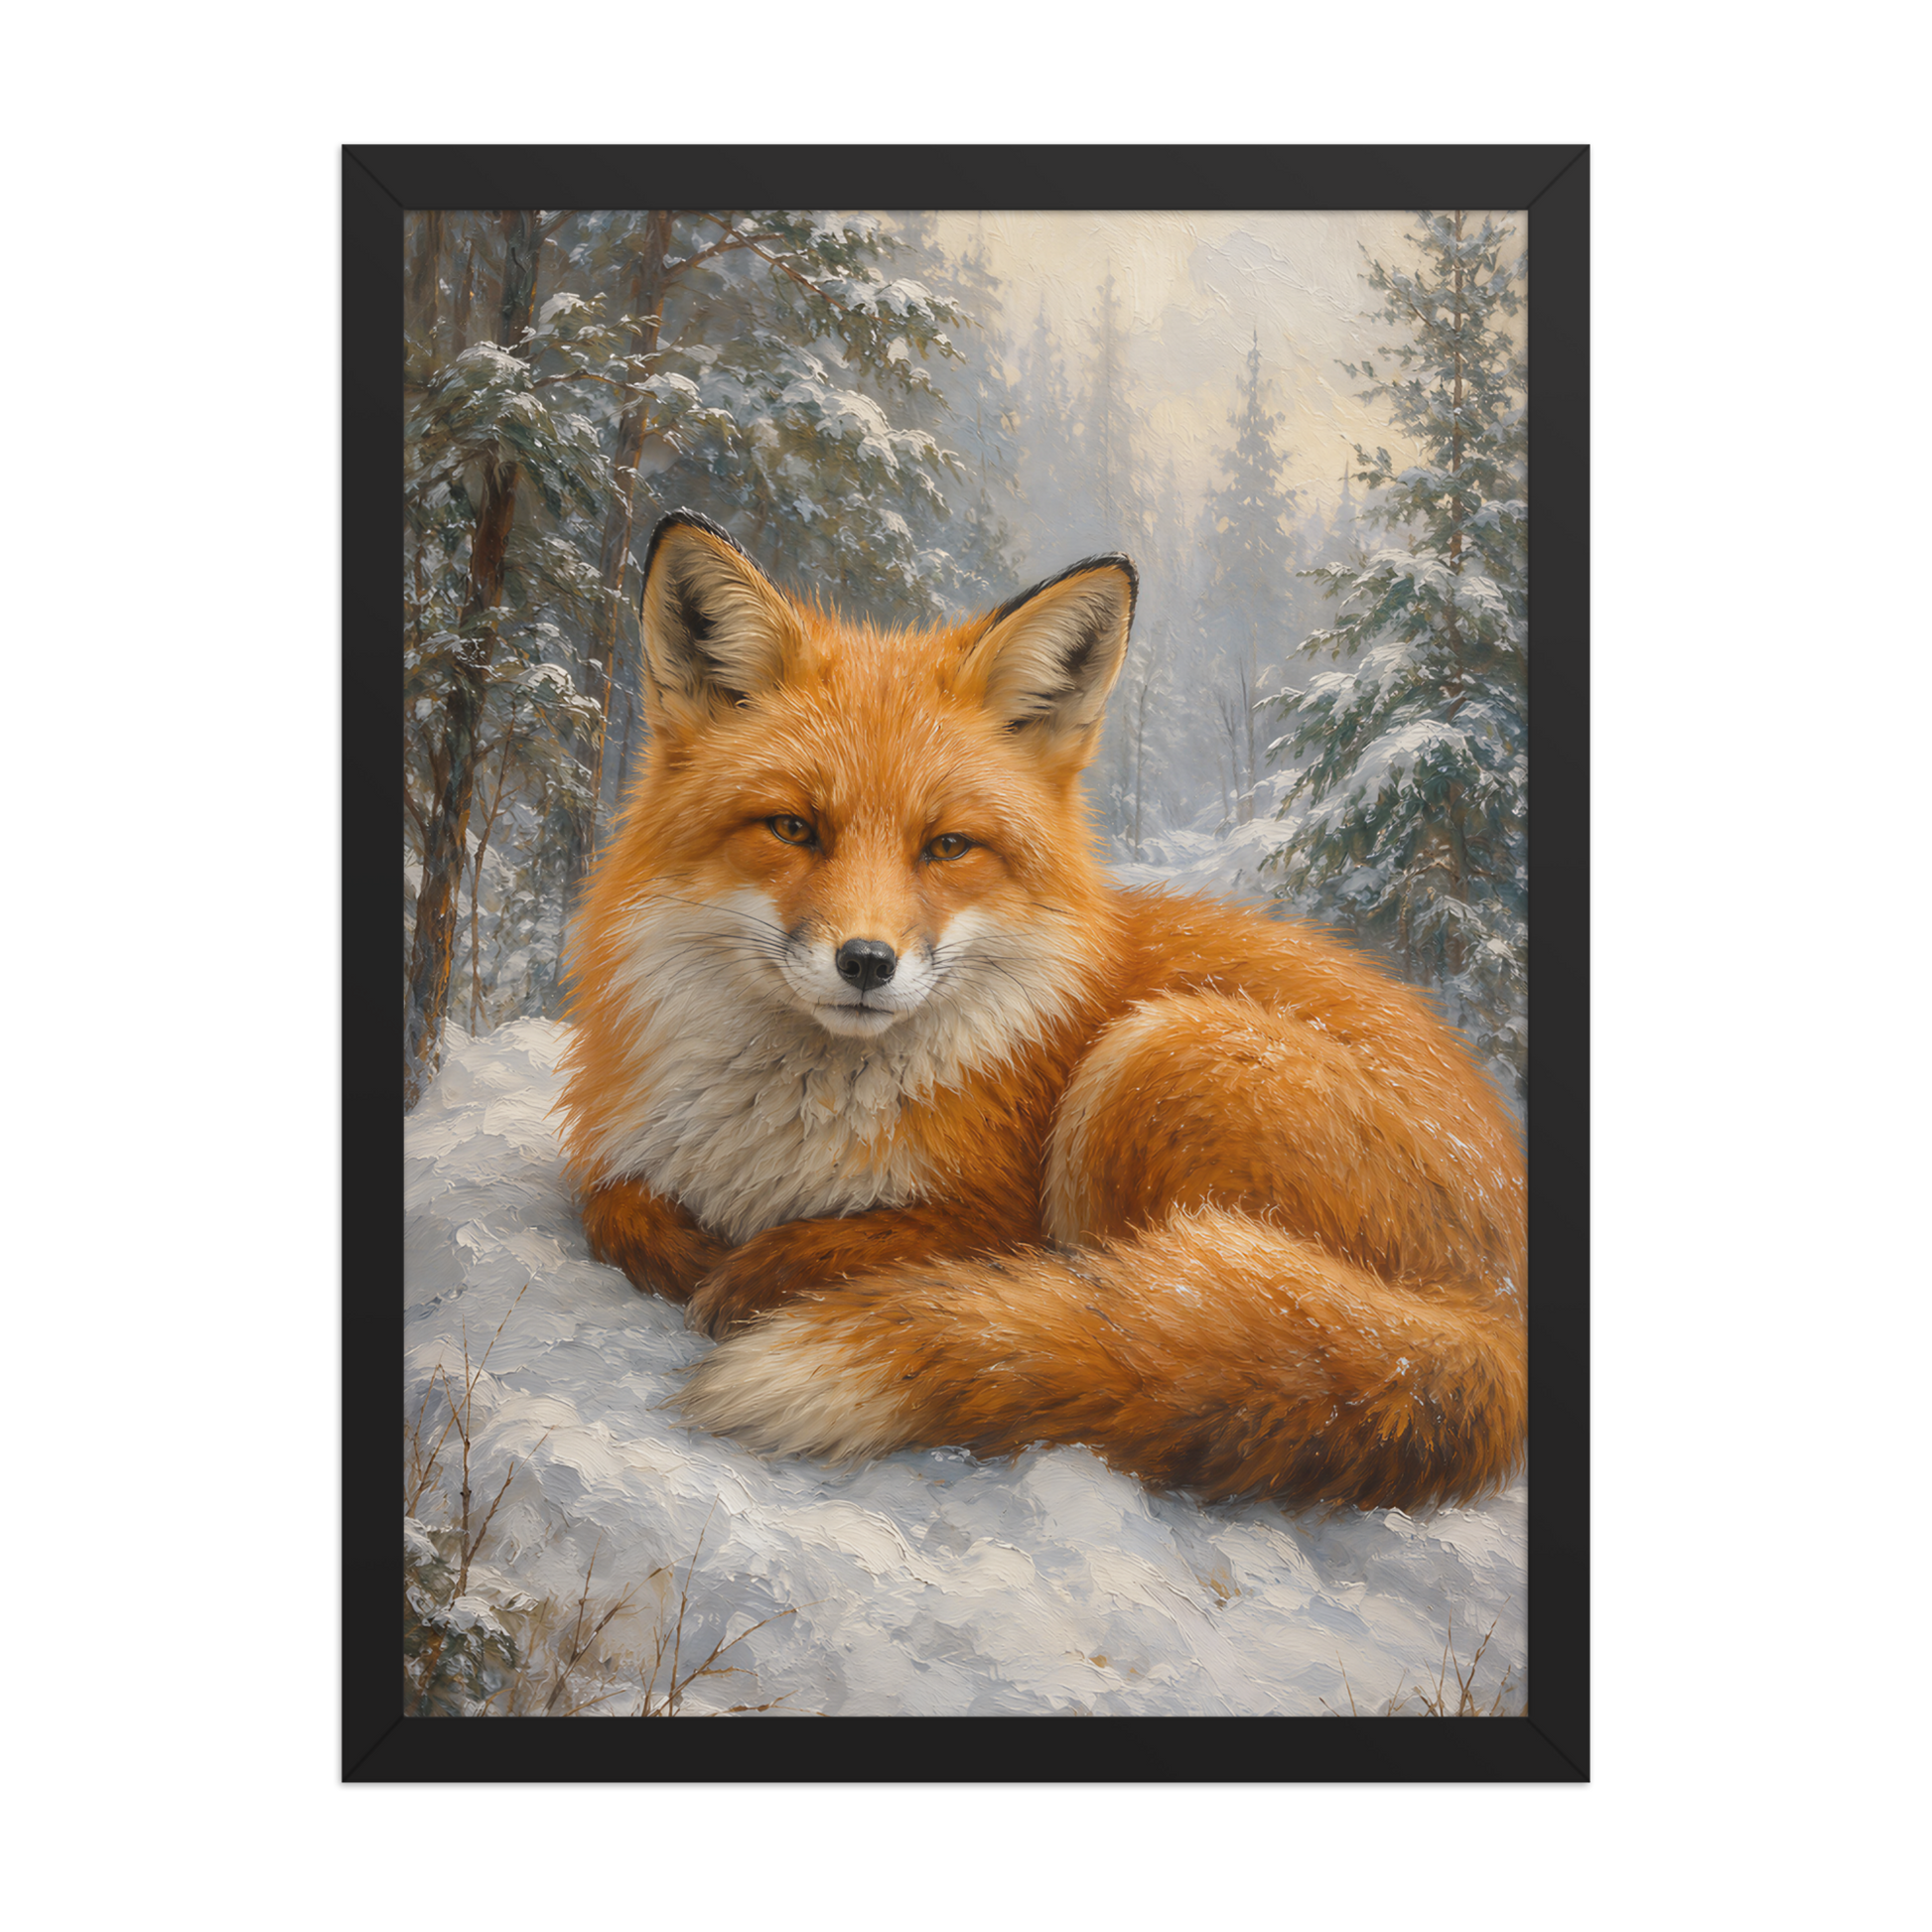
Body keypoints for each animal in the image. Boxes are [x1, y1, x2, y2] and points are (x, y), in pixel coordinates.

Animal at [555, 509, 1526, 1514]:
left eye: (947, 846)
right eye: (793, 828)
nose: (866, 963)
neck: (781, 1131)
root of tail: (1500, 1308)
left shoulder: (996, 1210)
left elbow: (871, 1242)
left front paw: (758, 1272)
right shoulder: (627, 1153)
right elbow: (611, 1204)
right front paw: (685, 1250)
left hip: (1155, 1056)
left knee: (1135, 1311)